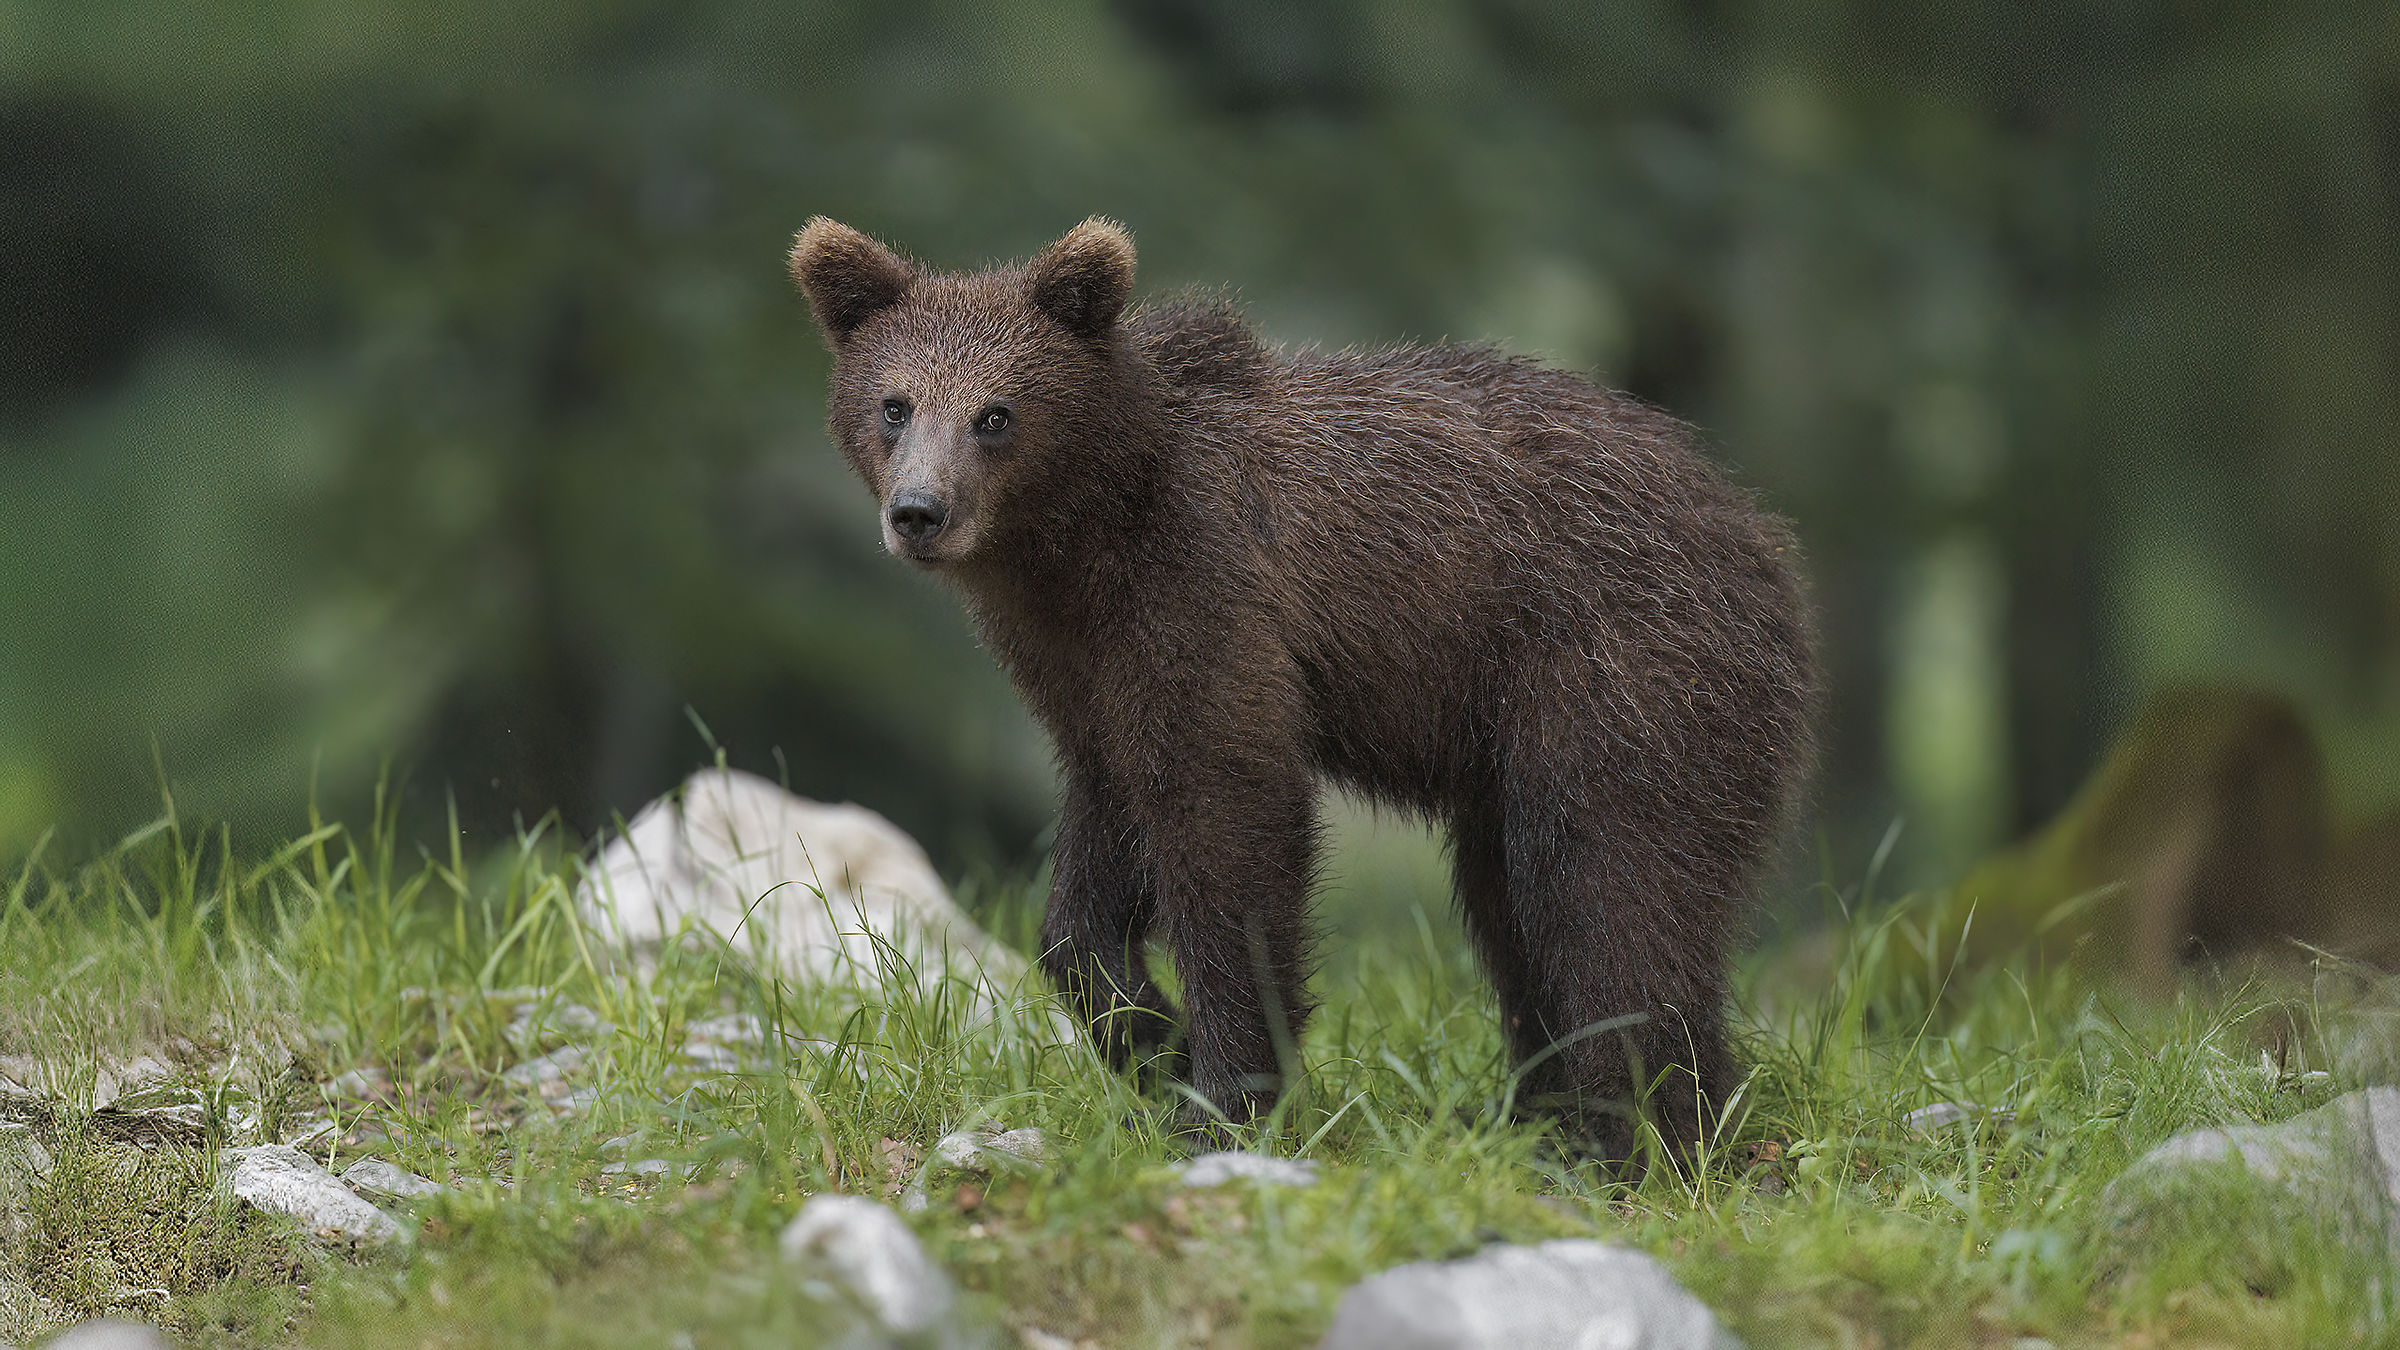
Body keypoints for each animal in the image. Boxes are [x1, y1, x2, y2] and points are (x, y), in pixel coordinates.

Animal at [788, 216, 1816, 1163]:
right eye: (895, 404)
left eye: (996, 412)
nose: (920, 512)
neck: (1083, 541)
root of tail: (1760, 537)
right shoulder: (1084, 676)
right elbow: (1095, 863)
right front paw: (1149, 1035)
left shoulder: (1206, 598)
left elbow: (1230, 820)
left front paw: (1225, 1093)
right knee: (1513, 909)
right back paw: (1545, 1118)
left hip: (1616, 674)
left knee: (1612, 887)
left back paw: (1646, 1135)